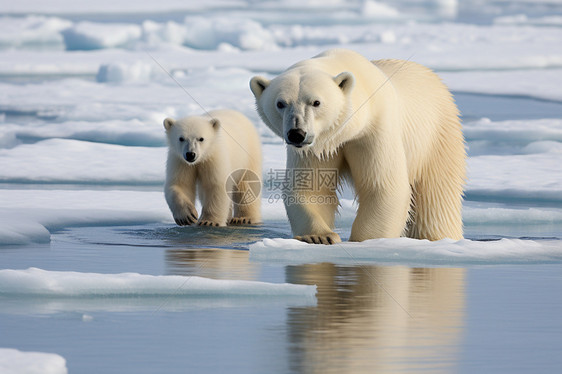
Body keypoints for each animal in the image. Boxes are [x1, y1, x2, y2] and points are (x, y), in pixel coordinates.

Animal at [249, 48, 464, 244]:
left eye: (316, 102)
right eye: (280, 103)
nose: (297, 133)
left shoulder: (374, 130)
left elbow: (382, 186)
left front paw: (364, 240)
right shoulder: (317, 147)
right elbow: (311, 188)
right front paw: (320, 236)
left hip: (438, 135)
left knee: (436, 198)